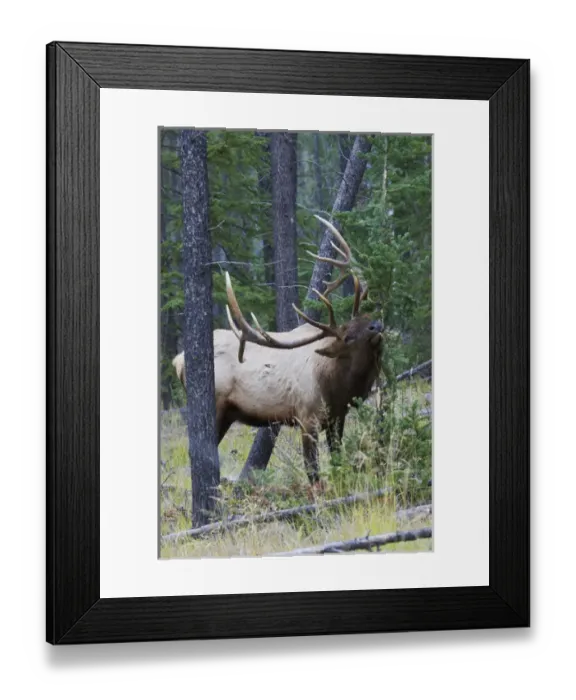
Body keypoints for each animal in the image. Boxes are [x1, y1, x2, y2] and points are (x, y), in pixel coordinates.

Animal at [173, 216, 384, 487]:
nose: (377, 325)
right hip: (217, 407)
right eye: (348, 336)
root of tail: (177, 360)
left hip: (229, 414)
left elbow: (338, 460)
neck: (338, 387)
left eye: (366, 317)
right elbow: (313, 472)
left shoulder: (338, 417)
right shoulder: (307, 417)